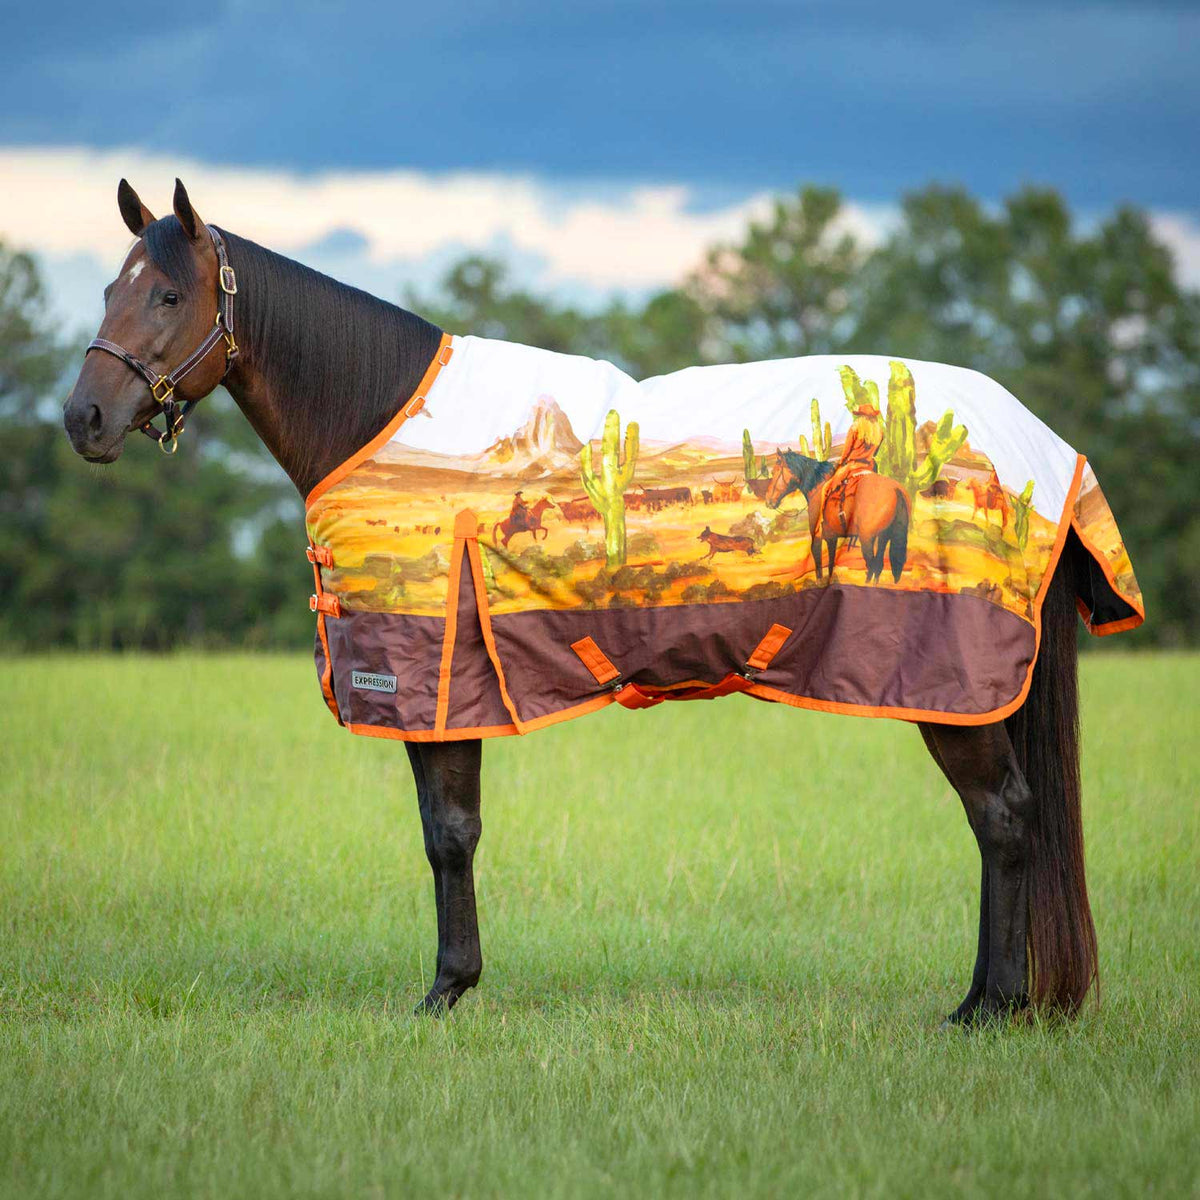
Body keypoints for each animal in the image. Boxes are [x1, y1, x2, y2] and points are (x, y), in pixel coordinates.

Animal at [765, 449, 910, 584]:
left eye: (774, 472)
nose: (768, 501)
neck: (817, 487)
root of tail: (896, 489)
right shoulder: (831, 538)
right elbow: (830, 564)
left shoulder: (818, 537)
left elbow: (819, 565)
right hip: (883, 537)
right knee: (878, 566)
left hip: (867, 538)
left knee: (872, 566)